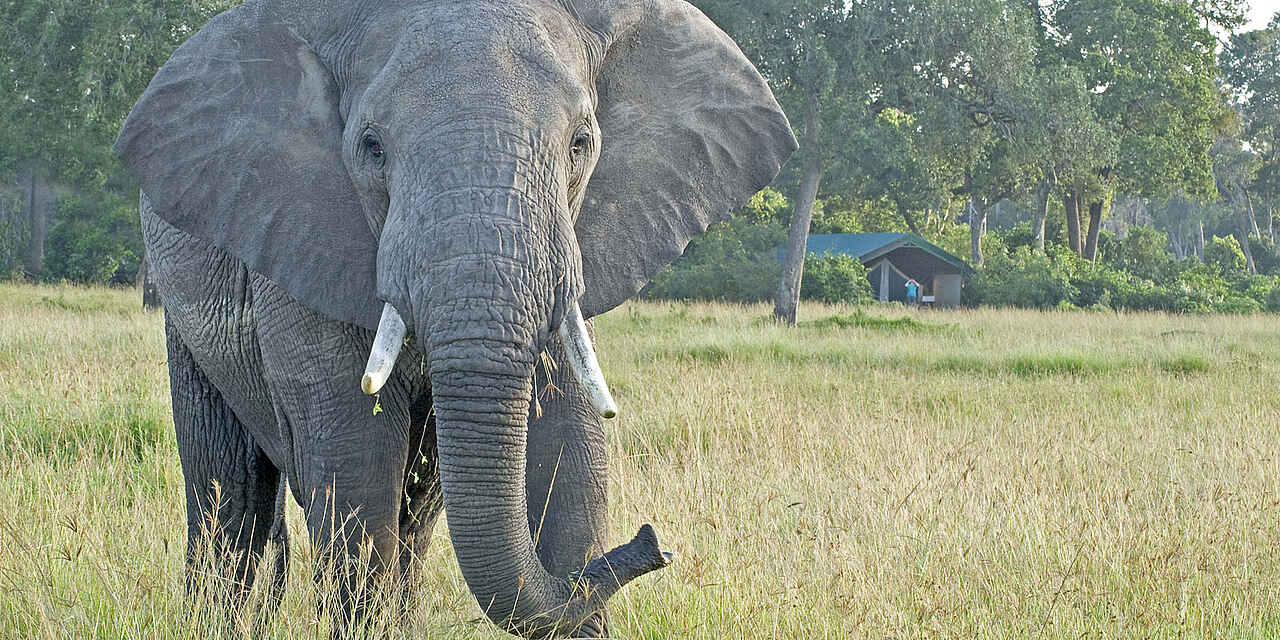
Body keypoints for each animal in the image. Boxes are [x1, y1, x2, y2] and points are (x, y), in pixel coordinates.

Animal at [115, 0, 795, 637]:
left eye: (580, 143)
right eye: (371, 147)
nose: (653, 545)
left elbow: (573, 451)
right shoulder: (300, 231)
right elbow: (355, 465)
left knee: (410, 514)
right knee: (229, 494)